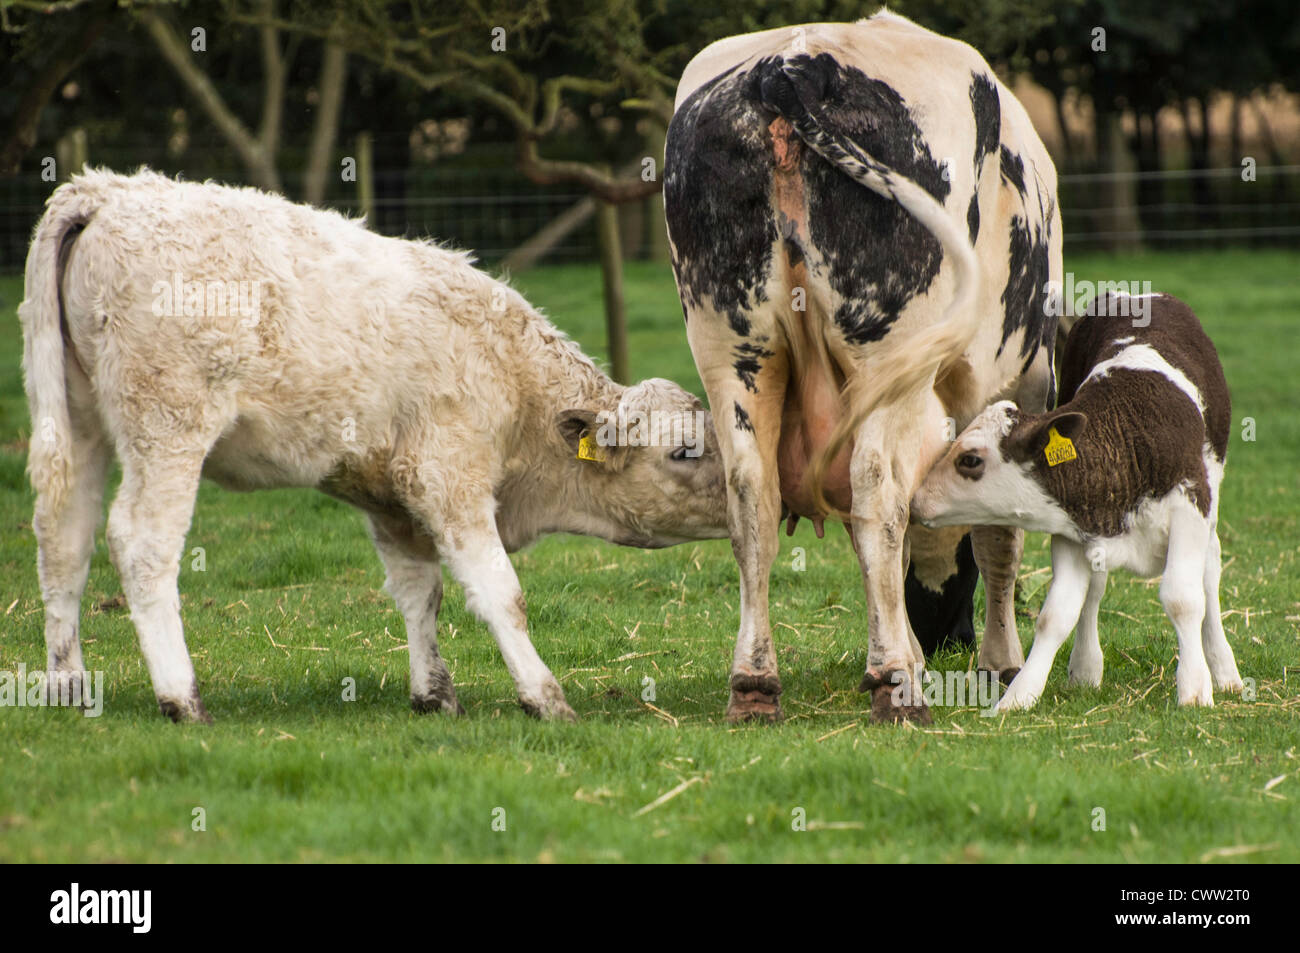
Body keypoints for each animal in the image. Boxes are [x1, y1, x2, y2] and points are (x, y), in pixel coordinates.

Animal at [20, 168, 728, 724]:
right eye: (686, 451)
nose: (747, 500)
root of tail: (107, 190)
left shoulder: (391, 496)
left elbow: (420, 593)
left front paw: (434, 694)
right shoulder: (448, 475)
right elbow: (501, 592)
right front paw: (544, 696)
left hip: (79, 423)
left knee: (64, 537)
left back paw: (67, 685)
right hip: (167, 424)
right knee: (141, 543)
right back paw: (181, 697)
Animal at [663, 10, 1062, 722]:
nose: (947, 634)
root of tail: (792, 63)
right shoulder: (1012, 381)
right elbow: (996, 533)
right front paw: (999, 664)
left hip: (732, 351)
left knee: (752, 498)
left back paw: (755, 684)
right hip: (887, 355)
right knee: (877, 490)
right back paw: (895, 684)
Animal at [912, 293, 1244, 711]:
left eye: (970, 460)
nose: (917, 499)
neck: (1124, 443)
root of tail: (1137, 296)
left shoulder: (1190, 510)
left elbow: (1183, 598)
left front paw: (1195, 688)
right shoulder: (1072, 532)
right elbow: (1056, 614)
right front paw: (1019, 695)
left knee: (1210, 574)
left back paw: (1225, 671)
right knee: (1096, 589)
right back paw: (1086, 668)